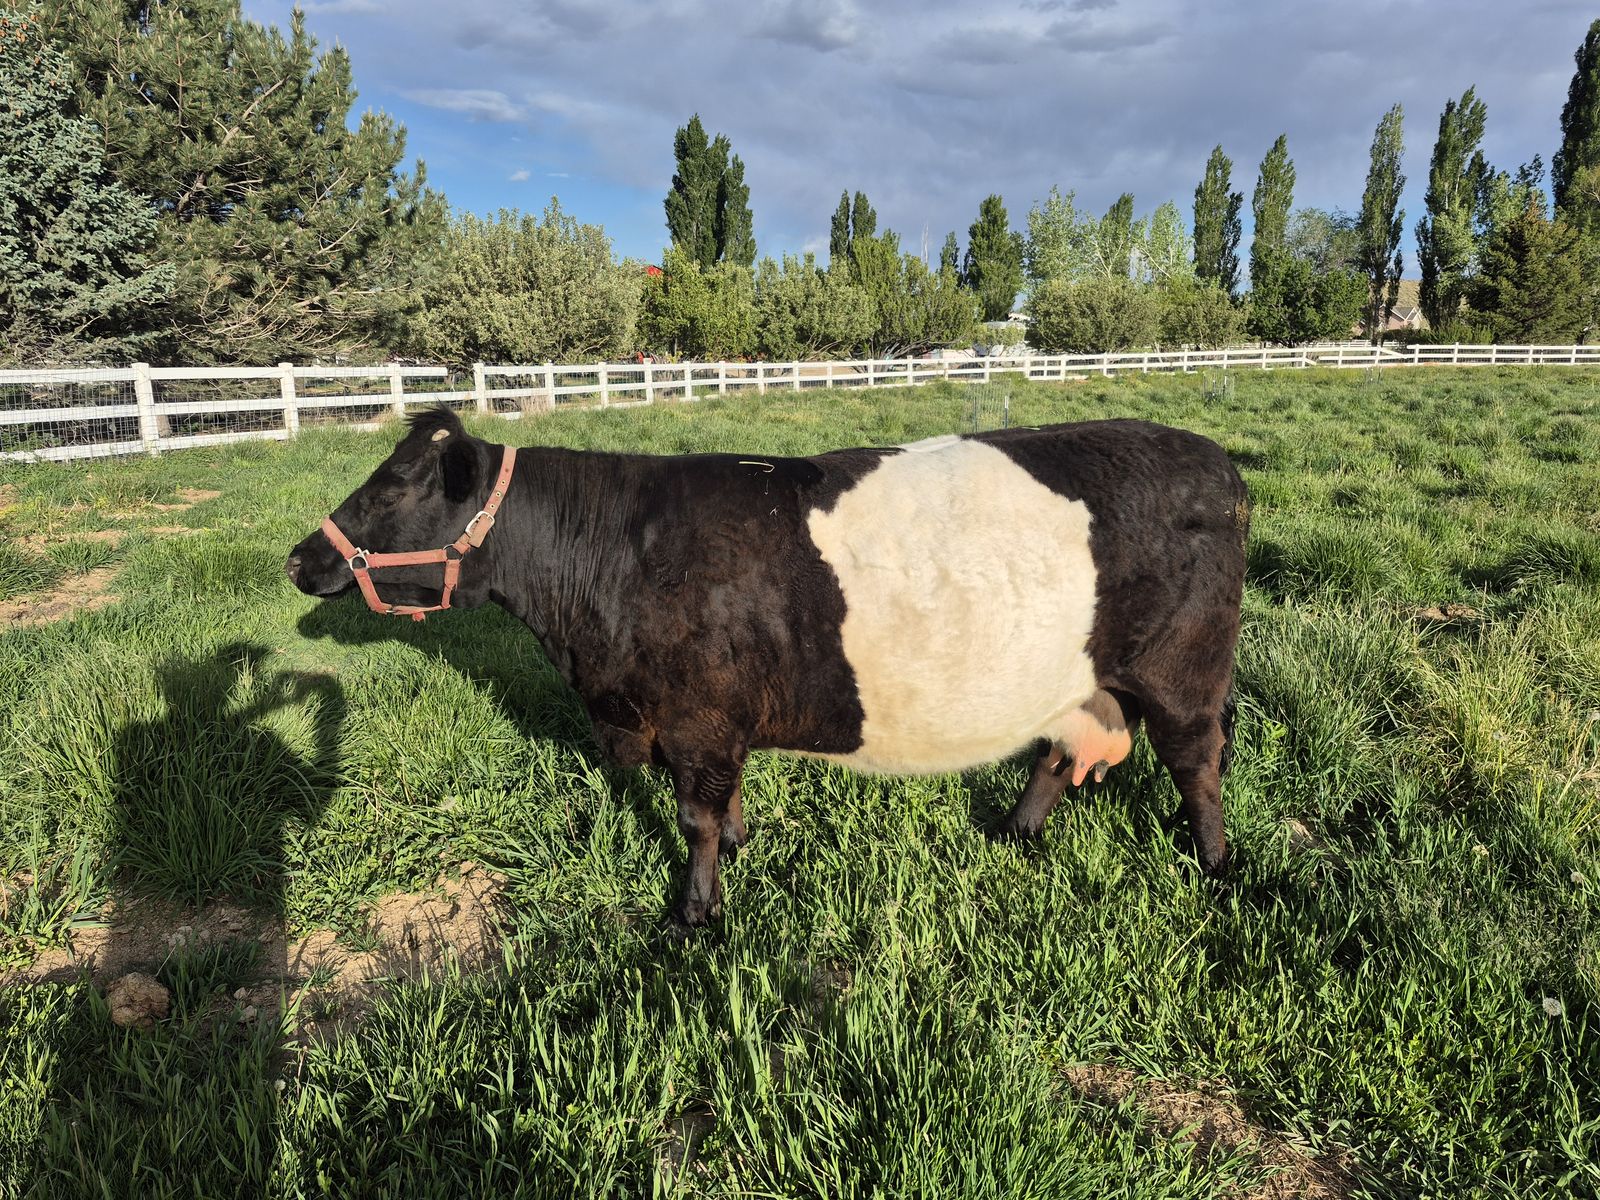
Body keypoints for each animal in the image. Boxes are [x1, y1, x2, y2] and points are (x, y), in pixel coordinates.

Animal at [286, 407, 1249, 926]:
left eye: (392, 489)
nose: (300, 558)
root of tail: (1215, 458)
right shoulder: (705, 722)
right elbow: (723, 806)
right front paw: (741, 850)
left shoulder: (698, 718)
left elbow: (695, 818)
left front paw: (694, 914)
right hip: (1078, 681)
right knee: (1056, 753)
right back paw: (1013, 833)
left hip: (1184, 673)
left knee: (1198, 764)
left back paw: (1215, 866)